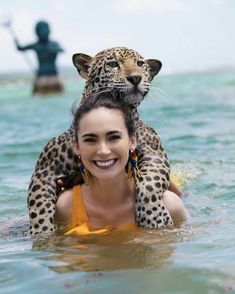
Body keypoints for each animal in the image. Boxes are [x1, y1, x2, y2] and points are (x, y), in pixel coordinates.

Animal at [28, 46, 173, 234]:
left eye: (140, 64)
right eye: (112, 64)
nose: (135, 78)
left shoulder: (155, 153)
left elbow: (149, 184)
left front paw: (155, 217)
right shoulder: (45, 169)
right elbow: (38, 208)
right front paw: (41, 233)